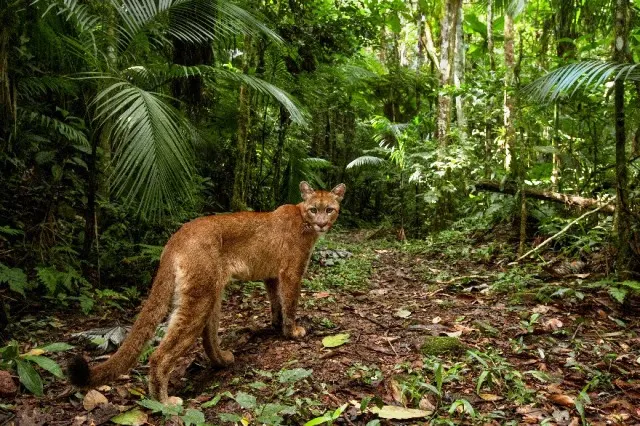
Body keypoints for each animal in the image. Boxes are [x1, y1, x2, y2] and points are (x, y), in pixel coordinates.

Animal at [69, 181, 344, 402]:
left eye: (329, 209)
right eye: (314, 209)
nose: (322, 223)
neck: (303, 218)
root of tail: (177, 236)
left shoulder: (271, 276)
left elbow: (276, 302)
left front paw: (276, 326)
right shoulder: (291, 272)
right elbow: (290, 303)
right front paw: (292, 331)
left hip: (212, 293)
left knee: (208, 338)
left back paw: (223, 360)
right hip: (199, 298)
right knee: (160, 355)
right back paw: (164, 402)